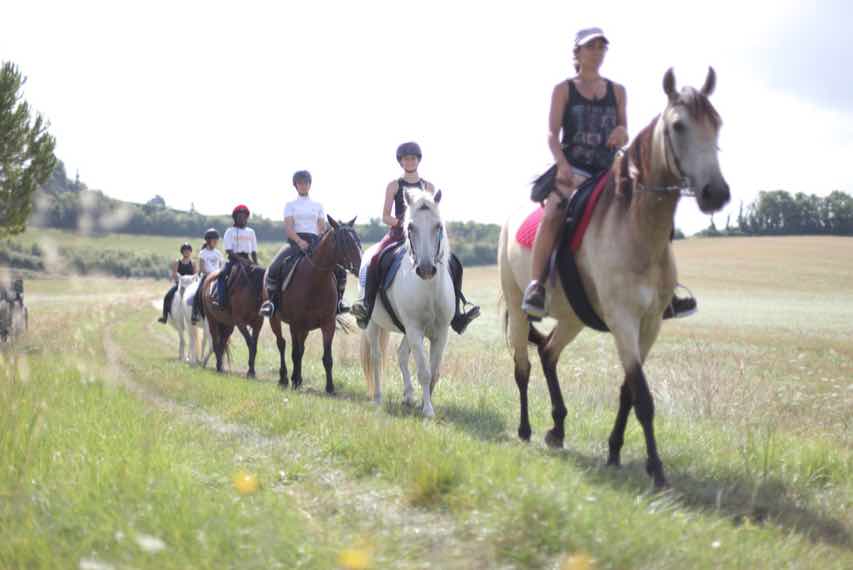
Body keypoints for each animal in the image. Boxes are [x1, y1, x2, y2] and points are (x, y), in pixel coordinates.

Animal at [270, 215, 362, 392]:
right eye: (345, 241)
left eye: (357, 239)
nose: (360, 268)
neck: (315, 280)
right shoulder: (295, 324)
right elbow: (294, 353)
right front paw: (295, 381)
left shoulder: (328, 324)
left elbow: (327, 358)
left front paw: (330, 387)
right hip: (275, 319)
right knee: (281, 344)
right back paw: (284, 378)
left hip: (305, 328)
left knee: (300, 349)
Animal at [358, 189, 456, 414]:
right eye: (410, 227)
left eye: (438, 226)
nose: (426, 269)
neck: (429, 289)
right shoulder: (414, 329)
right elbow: (424, 371)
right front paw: (427, 410)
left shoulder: (440, 333)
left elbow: (434, 372)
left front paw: (423, 402)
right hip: (374, 325)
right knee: (377, 357)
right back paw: (378, 398)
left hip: (406, 330)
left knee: (401, 354)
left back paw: (409, 396)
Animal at [496, 65, 728, 484]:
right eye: (679, 126)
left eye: (716, 123)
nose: (714, 193)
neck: (636, 228)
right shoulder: (623, 320)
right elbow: (643, 396)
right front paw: (656, 469)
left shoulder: (649, 324)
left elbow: (629, 391)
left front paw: (615, 451)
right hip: (519, 309)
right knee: (523, 366)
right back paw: (525, 429)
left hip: (573, 317)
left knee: (549, 353)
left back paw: (558, 428)